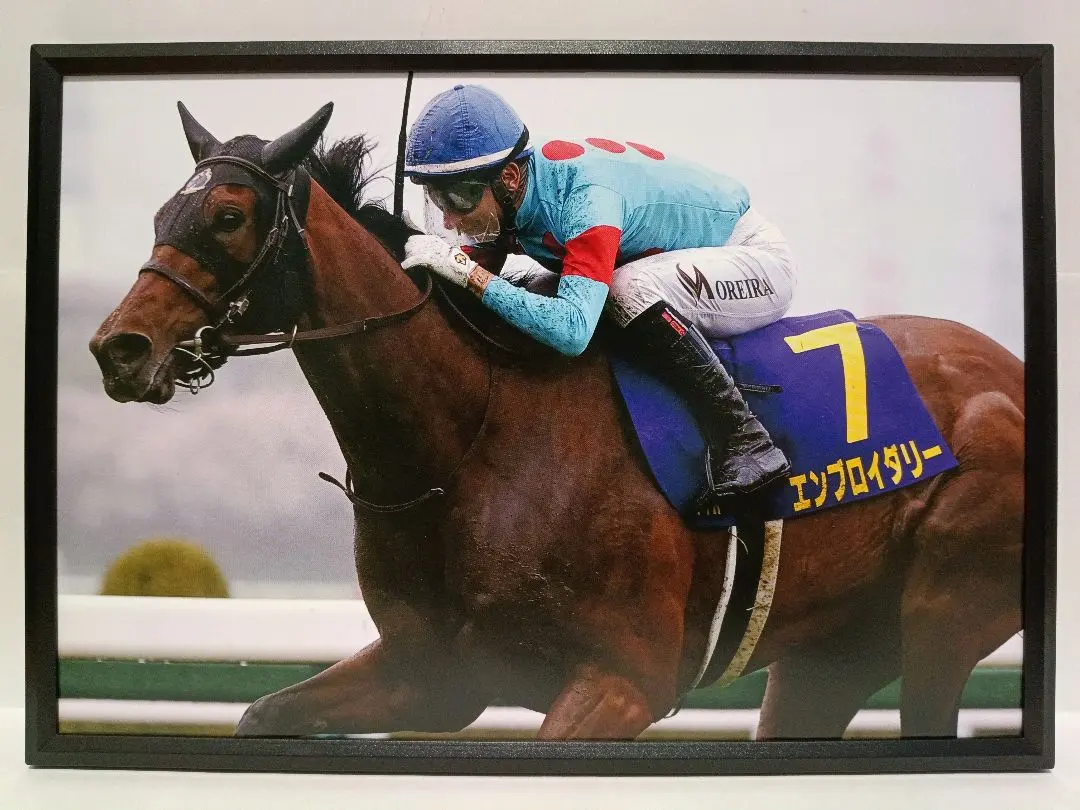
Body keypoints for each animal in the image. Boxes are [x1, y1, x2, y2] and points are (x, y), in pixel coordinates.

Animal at [88, 102, 1024, 741]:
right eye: (161, 215)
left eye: (228, 217)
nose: (117, 348)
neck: (471, 444)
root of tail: (1008, 371)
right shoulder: (432, 673)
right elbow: (264, 716)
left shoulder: (621, 683)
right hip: (831, 656)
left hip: (944, 615)